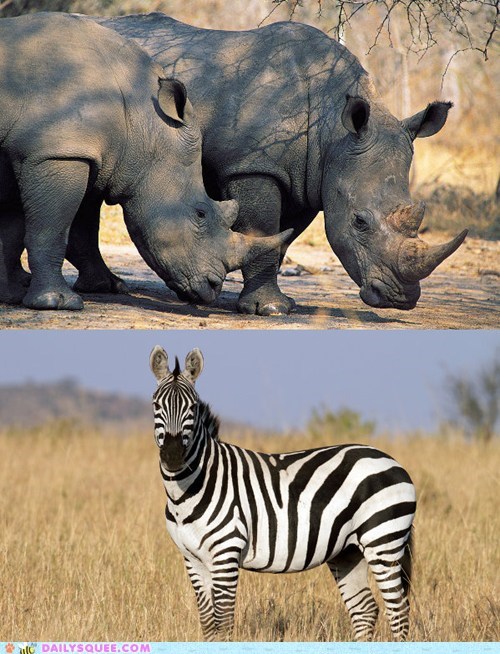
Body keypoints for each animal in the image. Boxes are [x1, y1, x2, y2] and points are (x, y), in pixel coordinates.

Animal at [0, 13, 287, 310]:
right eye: (200, 213)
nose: (213, 287)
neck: (143, 121)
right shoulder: (57, 151)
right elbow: (50, 228)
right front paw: (56, 303)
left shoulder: (23, 153)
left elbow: (10, 230)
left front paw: (11, 296)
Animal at [89, 13, 467, 315]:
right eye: (359, 222)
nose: (400, 299)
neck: (333, 131)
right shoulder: (253, 164)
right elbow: (263, 228)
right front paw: (267, 309)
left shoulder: (309, 178)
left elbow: (281, 237)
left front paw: (271, 302)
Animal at [150, 345, 416, 642]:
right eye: (156, 405)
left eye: (193, 408)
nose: (173, 457)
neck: (187, 493)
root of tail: (391, 460)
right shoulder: (192, 559)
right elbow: (209, 624)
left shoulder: (225, 554)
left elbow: (224, 623)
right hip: (348, 551)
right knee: (365, 609)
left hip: (383, 541)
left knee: (398, 611)